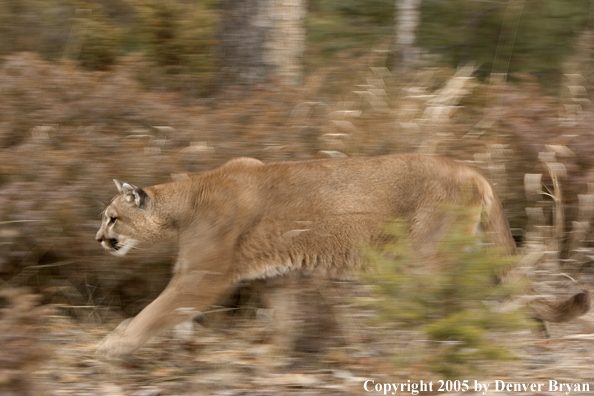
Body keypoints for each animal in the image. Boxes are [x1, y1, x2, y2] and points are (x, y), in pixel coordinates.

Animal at [96, 153, 588, 358]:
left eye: (112, 218)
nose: (99, 239)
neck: (187, 200)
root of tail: (473, 171)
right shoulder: (278, 277)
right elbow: (285, 320)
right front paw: (275, 357)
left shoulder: (202, 275)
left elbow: (156, 312)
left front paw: (114, 344)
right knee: (509, 293)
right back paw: (534, 339)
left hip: (426, 257)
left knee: (454, 303)